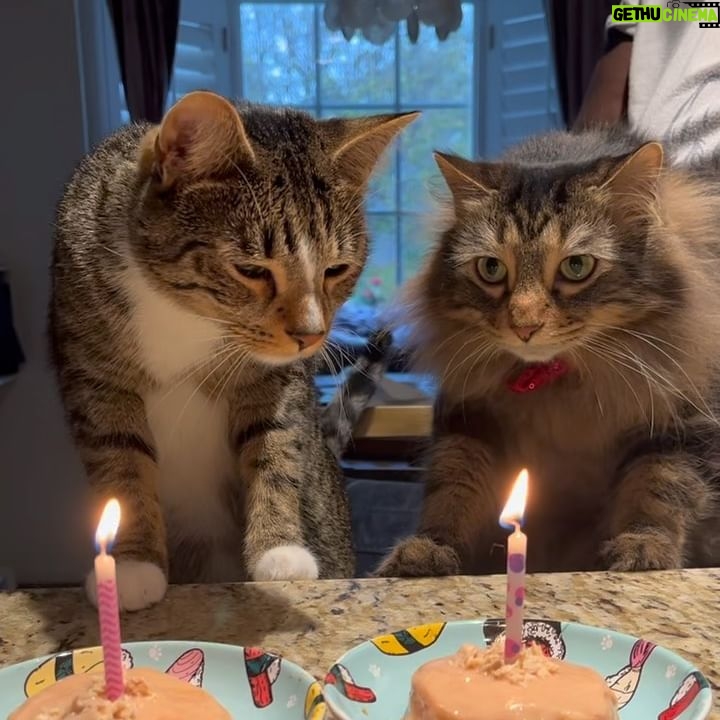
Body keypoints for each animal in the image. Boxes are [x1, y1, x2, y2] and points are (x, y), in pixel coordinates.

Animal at [50, 88, 416, 608]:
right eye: (252, 270)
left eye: (336, 269)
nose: (311, 336)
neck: (186, 314)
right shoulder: (93, 373)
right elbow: (120, 459)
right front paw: (130, 567)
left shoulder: (277, 377)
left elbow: (275, 444)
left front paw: (280, 551)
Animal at [376, 126, 720, 576]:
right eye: (491, 269)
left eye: (577, 267)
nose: (524, 324)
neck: (563, 385)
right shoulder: (469, 422)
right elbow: (452, 493)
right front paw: (425, 551)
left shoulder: (677, 426)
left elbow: (657, 491)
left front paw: (644, 548)